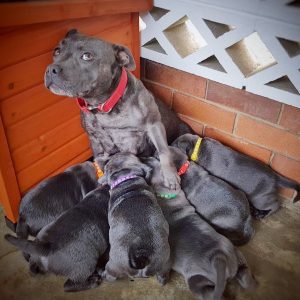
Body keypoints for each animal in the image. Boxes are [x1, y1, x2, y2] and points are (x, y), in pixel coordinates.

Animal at [44, 29, 192, 190]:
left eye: (87, 56)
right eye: (57, 51)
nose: (51, 69)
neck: (102, 106)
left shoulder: (154, 125)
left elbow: (164, 151)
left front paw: (170, 176)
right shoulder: (95, 140)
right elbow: (100, 161)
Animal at [100, 152, 171, 284]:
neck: (127, 179)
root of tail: (141, 254)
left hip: (113, 265)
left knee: (111, 275)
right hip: (164, 263)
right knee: (163, 275)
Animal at [172, 134, 300, 218]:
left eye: (173, 145)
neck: (198, 148)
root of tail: (275, 176)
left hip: (260, 198)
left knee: (276, 205)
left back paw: (262, 215)